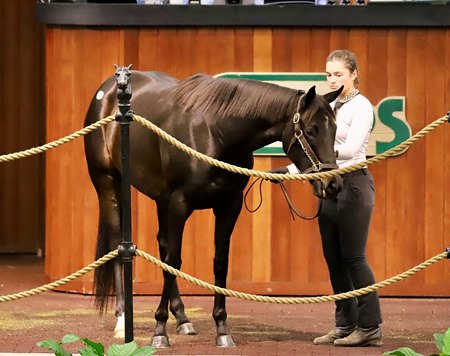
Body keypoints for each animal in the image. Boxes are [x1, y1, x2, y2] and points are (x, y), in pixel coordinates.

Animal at [84, 64, 342, 348]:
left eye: (335, 129)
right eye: (311, 130)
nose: (333, 184)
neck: (214, 132)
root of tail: (108, 91)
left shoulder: (228, 206)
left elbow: (219, 263)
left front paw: (222, 329)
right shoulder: (179, 204)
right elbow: (174, 261)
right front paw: (159, 331)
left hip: (159, 199)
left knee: (162, 245)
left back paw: (182, 318)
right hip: (108, 184)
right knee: (119, 247)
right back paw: (122, 320)